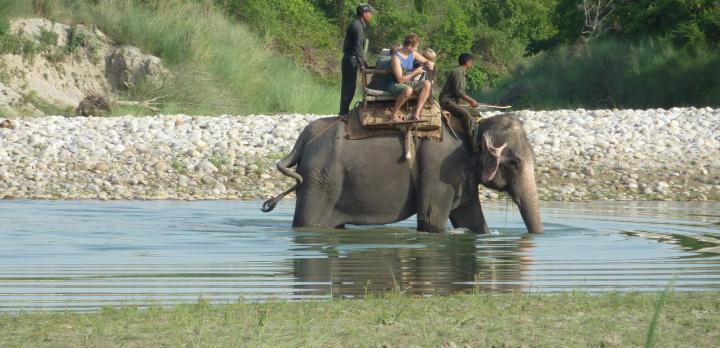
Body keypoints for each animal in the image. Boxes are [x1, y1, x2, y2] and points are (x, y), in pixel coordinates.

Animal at [262, 113, 544, 235]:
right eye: (515, 163)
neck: (473, 127)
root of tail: (303, 140)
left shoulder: (460, 176)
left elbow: (471, 219)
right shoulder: (441, 168)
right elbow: (432, 219)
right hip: (320, 179)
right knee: (309, 222)